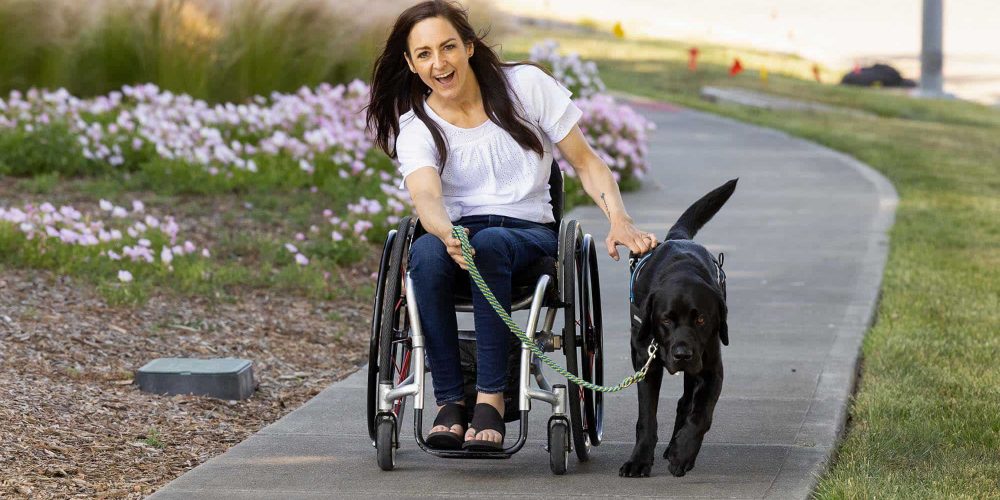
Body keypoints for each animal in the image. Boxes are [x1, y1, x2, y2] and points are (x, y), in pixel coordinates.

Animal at [616, 179, 736, 476]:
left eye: (701, 319)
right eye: (666, 320)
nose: (682, 354)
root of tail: (677, 237)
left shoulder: (711, 368)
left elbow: (701, 414)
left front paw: (682, 453)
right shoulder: (645, 362)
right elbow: (647, 418)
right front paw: (639, 460)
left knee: (686, 403)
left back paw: (677, 447)